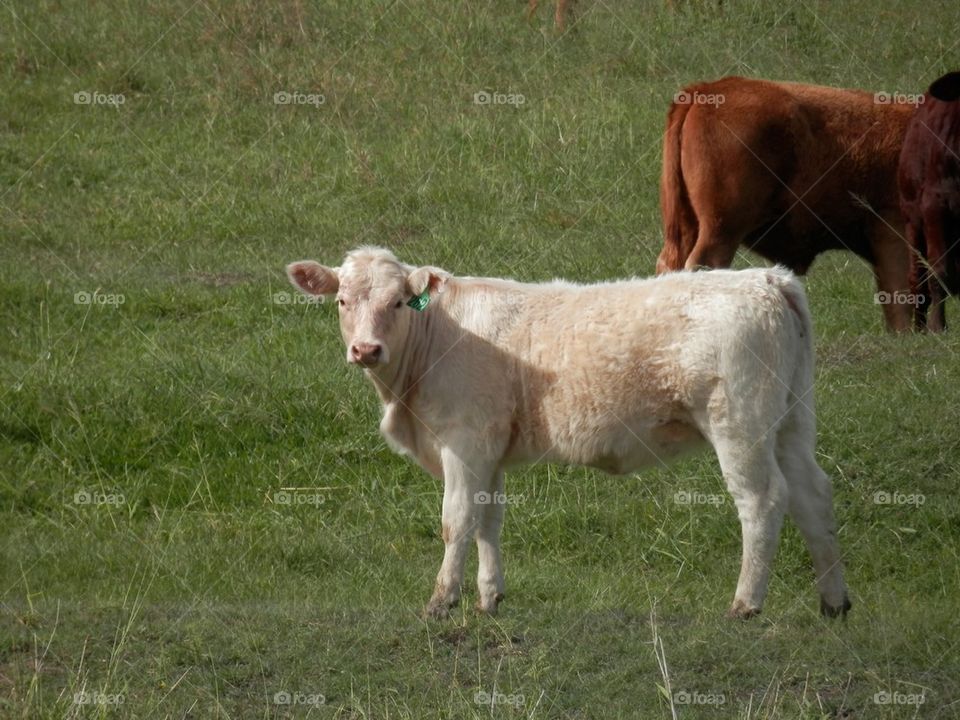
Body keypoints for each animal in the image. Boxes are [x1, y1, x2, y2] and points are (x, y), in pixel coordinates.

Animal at [287, 248, 850, 620]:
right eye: (341, 301)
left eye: (399, 302)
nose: (366, 350)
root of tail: (766, 279)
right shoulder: (491, 449)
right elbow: (489, 520)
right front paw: (490, 597)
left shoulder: (464, 441)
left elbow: (457, 520)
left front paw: (442, 600)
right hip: (791, 421)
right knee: (813, 495)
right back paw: (834, 602)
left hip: (740, 424)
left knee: (762, 501)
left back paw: (745, 605)